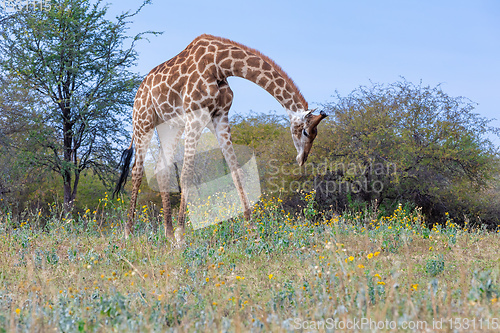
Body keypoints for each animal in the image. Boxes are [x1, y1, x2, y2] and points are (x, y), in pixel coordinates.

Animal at [112, 33, 328, 241]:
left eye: (315, 135)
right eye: (305, 131)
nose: (302, 159)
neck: (219, 64)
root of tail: (139, 91)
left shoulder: (220, 117)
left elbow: (236, 172)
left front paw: (252, 229)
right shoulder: (195, 116)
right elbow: (187, 174)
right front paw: (182, 236)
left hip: (170, 126)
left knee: (160, 168)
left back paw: (168, 234)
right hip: (143, 121)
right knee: (137, 170)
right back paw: (129, 234)